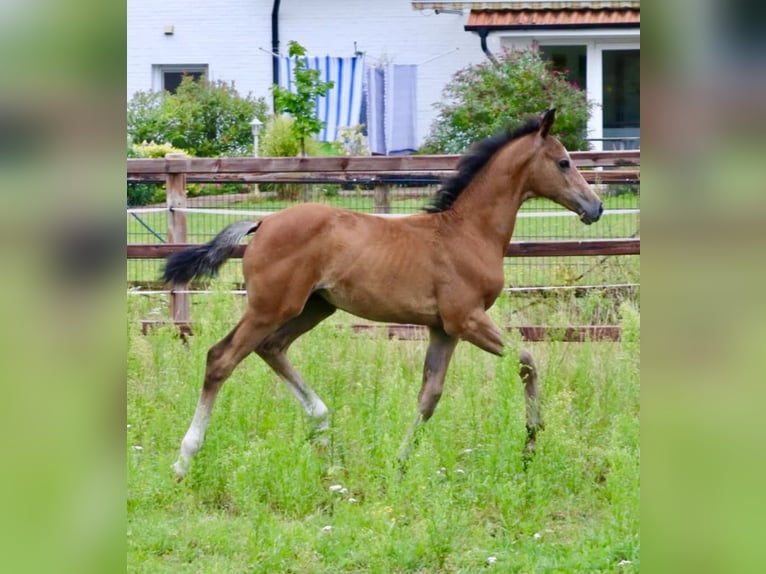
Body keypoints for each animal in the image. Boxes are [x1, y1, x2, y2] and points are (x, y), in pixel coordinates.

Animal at [165, 110, 604, 480]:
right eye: (563, 162)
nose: (595, 207)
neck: (467, 232)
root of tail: (264, 221)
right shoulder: (467, 318)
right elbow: (528, 361)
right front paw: (531, 442)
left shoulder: (444, 329)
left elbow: (429, 396)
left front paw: (400, 463)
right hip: (270, 306)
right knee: (220, 358)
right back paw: (185, 460)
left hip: (313, 308)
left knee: (271, 348)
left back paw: (323, 431)